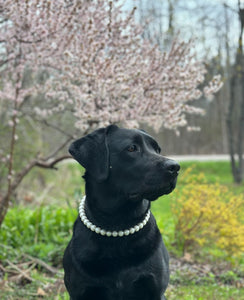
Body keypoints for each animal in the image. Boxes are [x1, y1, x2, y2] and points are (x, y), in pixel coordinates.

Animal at [63, 123, 180, 298]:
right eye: (132, 148)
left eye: (157, 149)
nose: (175, 167)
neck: (118, 224)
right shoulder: (81, 292)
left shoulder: (154, 290)